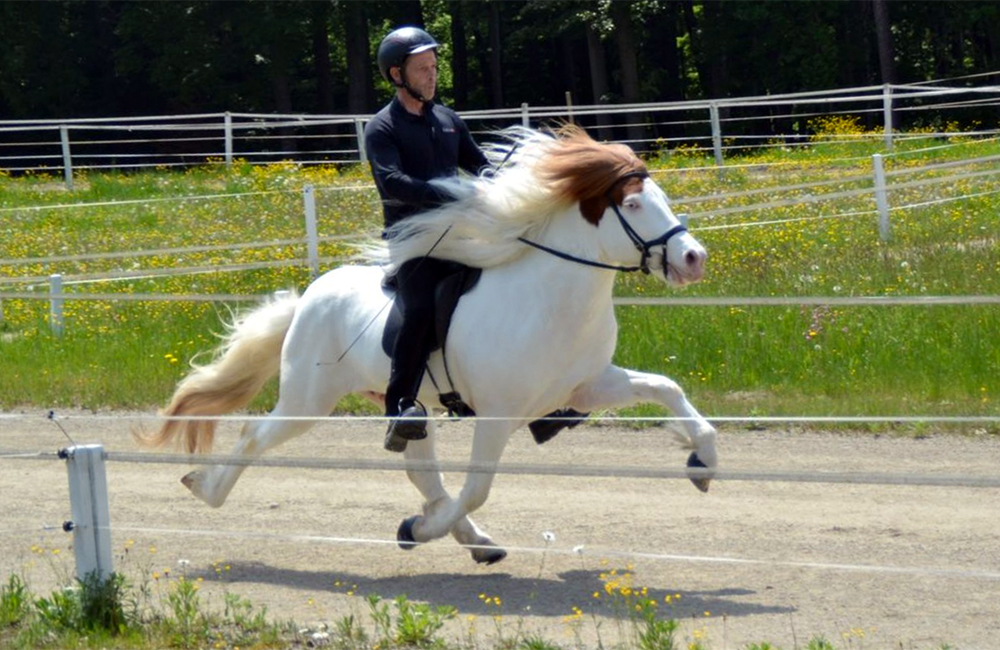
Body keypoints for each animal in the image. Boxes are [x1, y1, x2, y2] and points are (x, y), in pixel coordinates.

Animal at [143, 125, 720, 560]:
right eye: (635, 203)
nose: (694, 259)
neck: (550, 299)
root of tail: (309, 295)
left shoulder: (587, 387)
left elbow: (667, 388)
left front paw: (703, 462)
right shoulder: (497, 414)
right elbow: (478, 487)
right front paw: (418, 530)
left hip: (406, 403)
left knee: (418, 466)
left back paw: (478, 543)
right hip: (309, 397)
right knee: (256, 435)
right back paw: (206, 489)